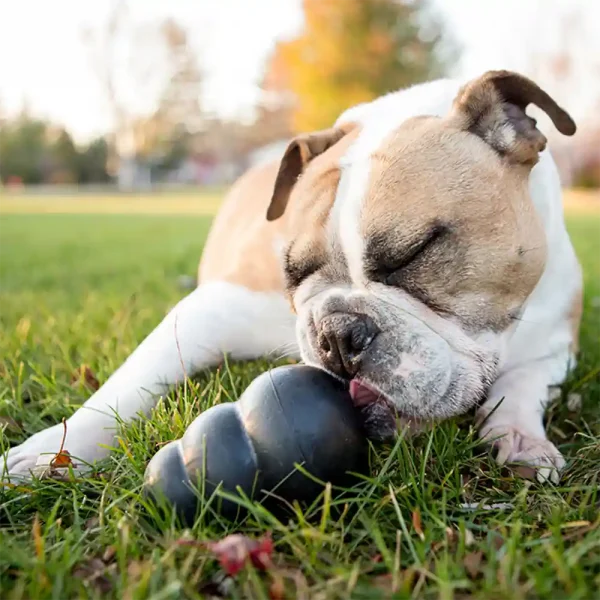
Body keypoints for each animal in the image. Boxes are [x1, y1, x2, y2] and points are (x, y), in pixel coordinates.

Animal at [1, 70, 580, 482]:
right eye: (292, 272)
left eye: (414, 253)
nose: (336, 333)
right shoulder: (211, 310)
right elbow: (130, 379)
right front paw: (54, 452)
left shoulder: (555, 339)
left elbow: (524, 382)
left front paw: (521, 436)